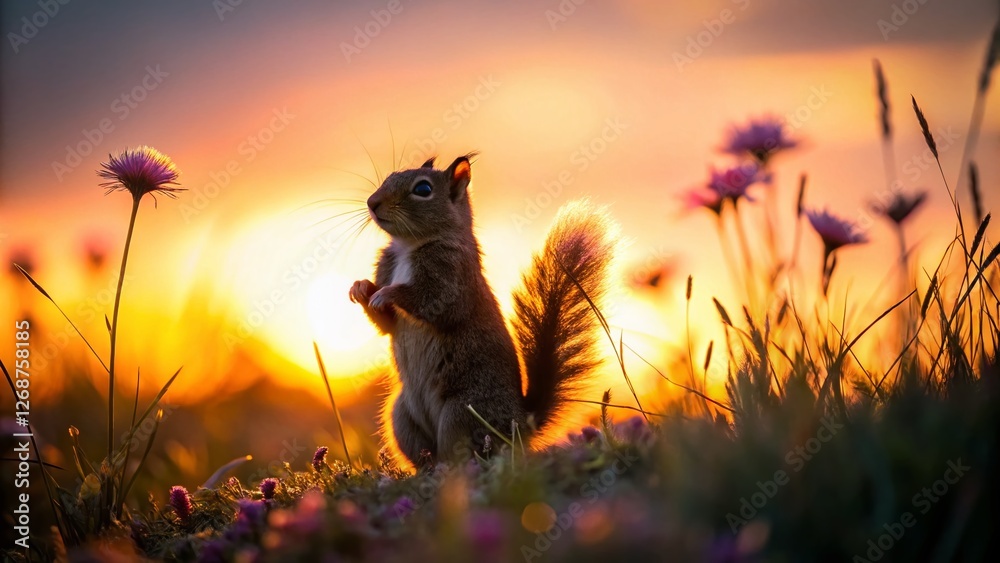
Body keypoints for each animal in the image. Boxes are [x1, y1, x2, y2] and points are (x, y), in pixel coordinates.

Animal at [349, 154, 616, 467]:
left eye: (423, 189)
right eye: (390, 176)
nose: (372, 202)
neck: (409, 247)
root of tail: (521, 425)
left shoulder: (454, 279)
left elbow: (436, 304)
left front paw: (386, 293)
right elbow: (387, 325)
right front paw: (361, 288)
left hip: (461, 415)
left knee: (462, 457)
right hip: (401, 417)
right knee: (425, 455)